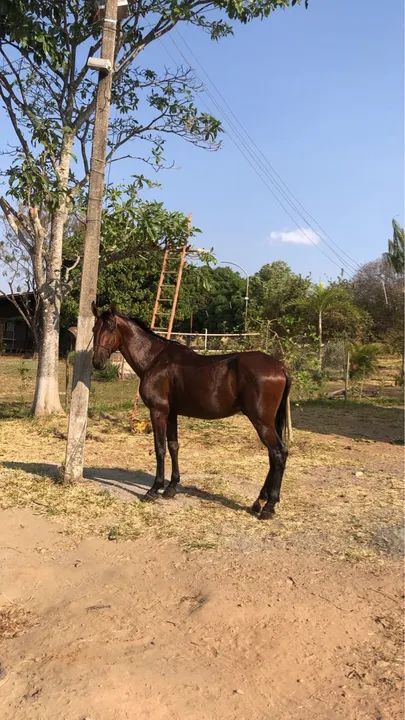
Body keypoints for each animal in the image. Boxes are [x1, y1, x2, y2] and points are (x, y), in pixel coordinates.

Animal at [91, 303, 291, 520]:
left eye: (111, 328)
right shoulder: (171, 413)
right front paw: (171, 488)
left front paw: (154, 489)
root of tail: (280, 367)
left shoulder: (158, 412)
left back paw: (269, 506)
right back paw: (259, 501)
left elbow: (160, 448)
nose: (97, 362)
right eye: (94, 329)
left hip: (262, 422)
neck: (155, 360)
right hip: (269, 422)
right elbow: (173, 446)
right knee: (273, 455)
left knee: (278, 453)